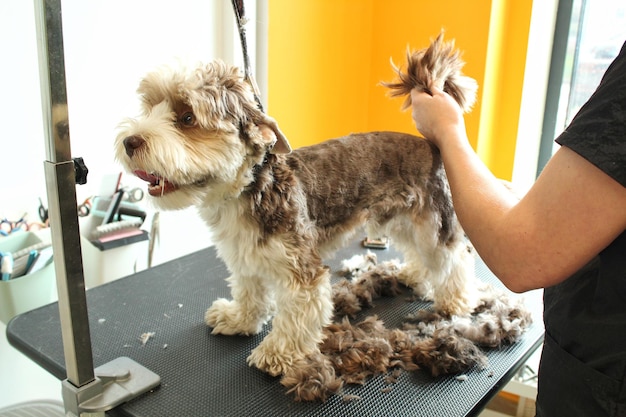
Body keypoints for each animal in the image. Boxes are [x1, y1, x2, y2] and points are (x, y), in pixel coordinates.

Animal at [114, 34, 478, 378]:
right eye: (150, 108)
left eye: (187, 116)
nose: (130, 142)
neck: (248, 190)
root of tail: (430, 143)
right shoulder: (246, 259)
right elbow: (249, 293)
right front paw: (239, 319)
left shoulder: (302, 271)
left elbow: (297, 314)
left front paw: (277, 354)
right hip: (400, 219)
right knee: (421, 254)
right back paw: (415, 275)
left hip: (433, 222)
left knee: (454, 259)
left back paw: (457, 301)